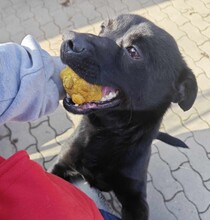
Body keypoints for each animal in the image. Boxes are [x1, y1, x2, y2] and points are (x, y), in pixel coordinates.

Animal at [52, 14, 197, 219]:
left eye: (133, 51)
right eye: (103, 27)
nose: (68, 39)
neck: (107, 134)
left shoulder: (135, 198)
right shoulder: (61, 166)